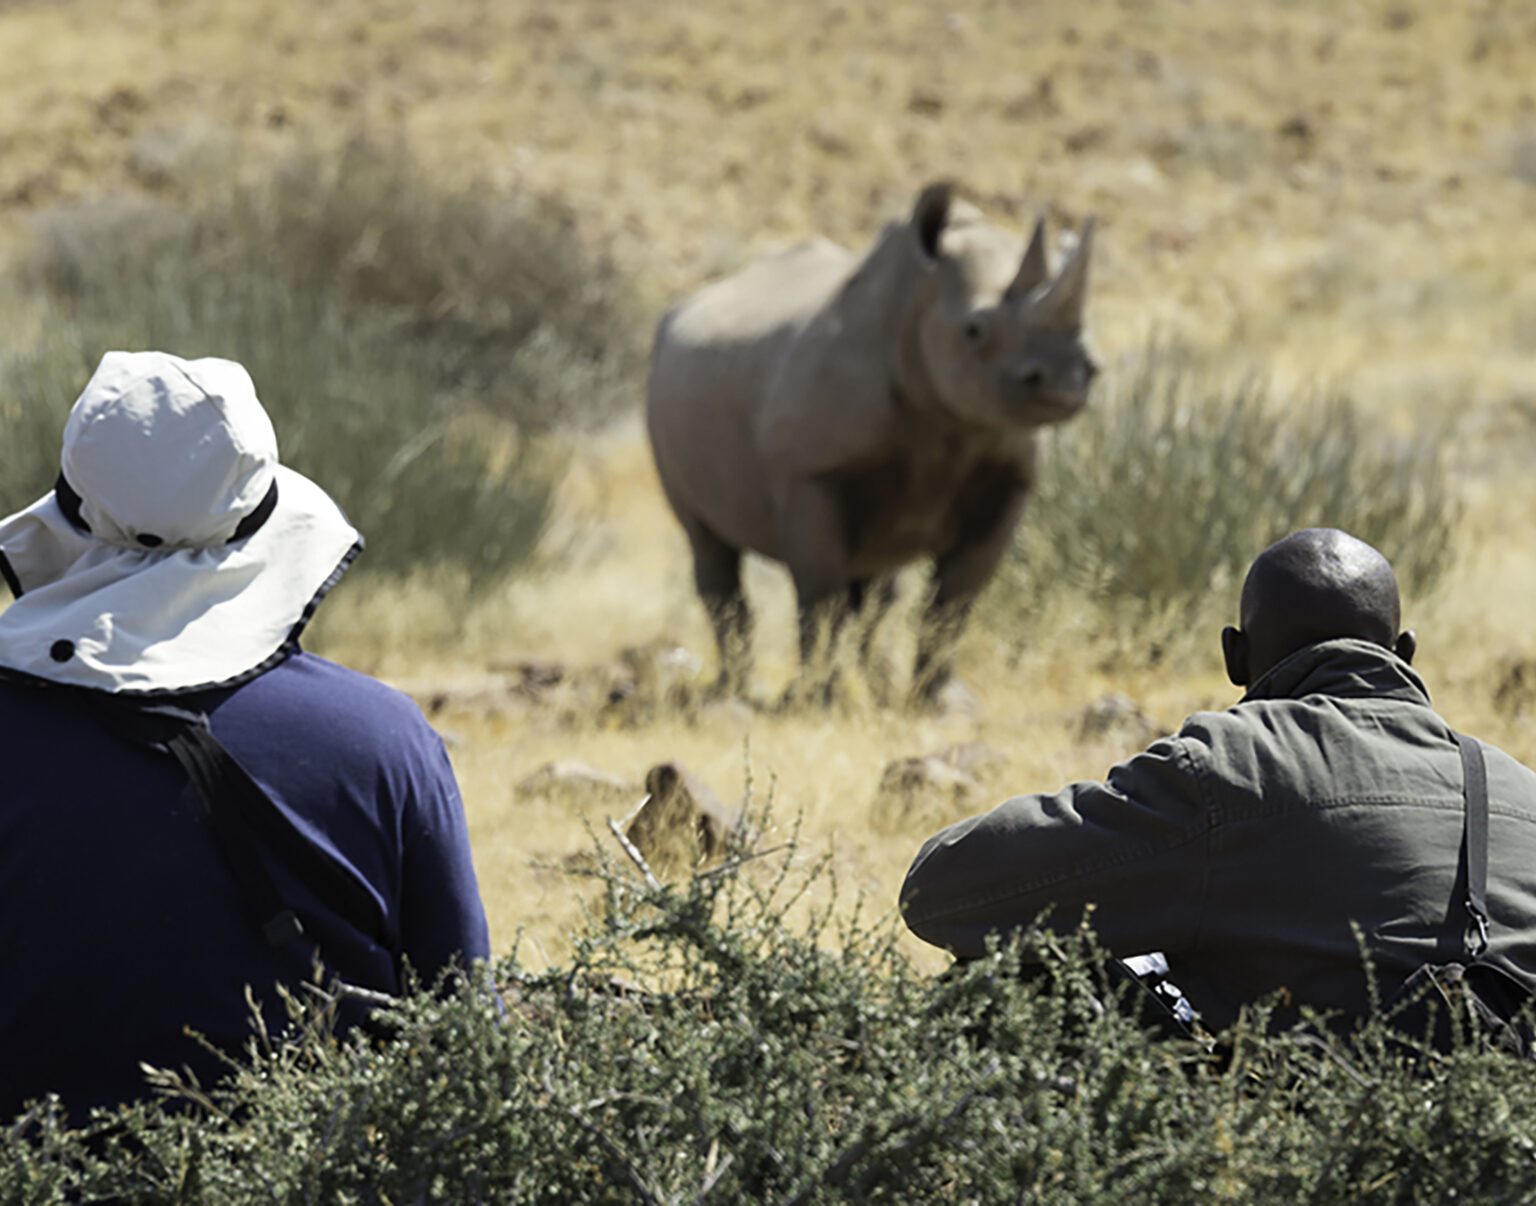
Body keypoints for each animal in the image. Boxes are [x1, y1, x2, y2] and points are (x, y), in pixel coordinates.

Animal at [645, 183, 1098, 705]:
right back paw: (733, 693)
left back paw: (868, 686)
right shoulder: (811, 475)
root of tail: (683, 306)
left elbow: (956, 599)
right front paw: (814, 701)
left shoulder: (1009, 478)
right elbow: (821, 591)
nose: (1066, 379)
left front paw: (941, 703)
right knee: (710, 547)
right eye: (974, 330)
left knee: (878, 586)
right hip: (660, 383)